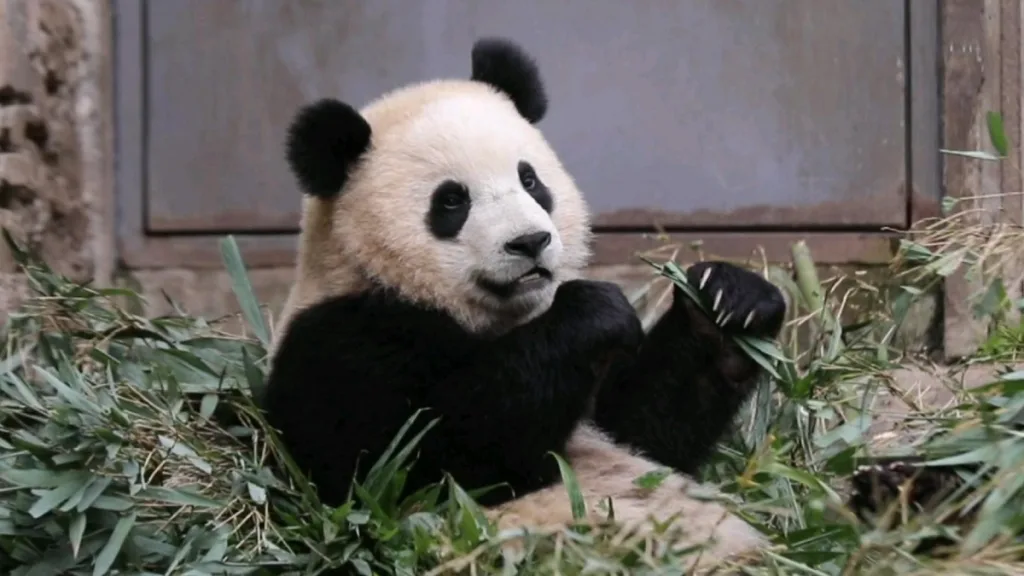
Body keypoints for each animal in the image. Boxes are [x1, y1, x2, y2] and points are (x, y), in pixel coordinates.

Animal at [262, 37, 787, 570]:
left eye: (530, 180)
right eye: (451, 201)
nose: (530, 242)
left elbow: (645, 430)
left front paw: (727, 303)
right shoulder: (340, 338)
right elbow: (406, 467)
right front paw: (593, 313)